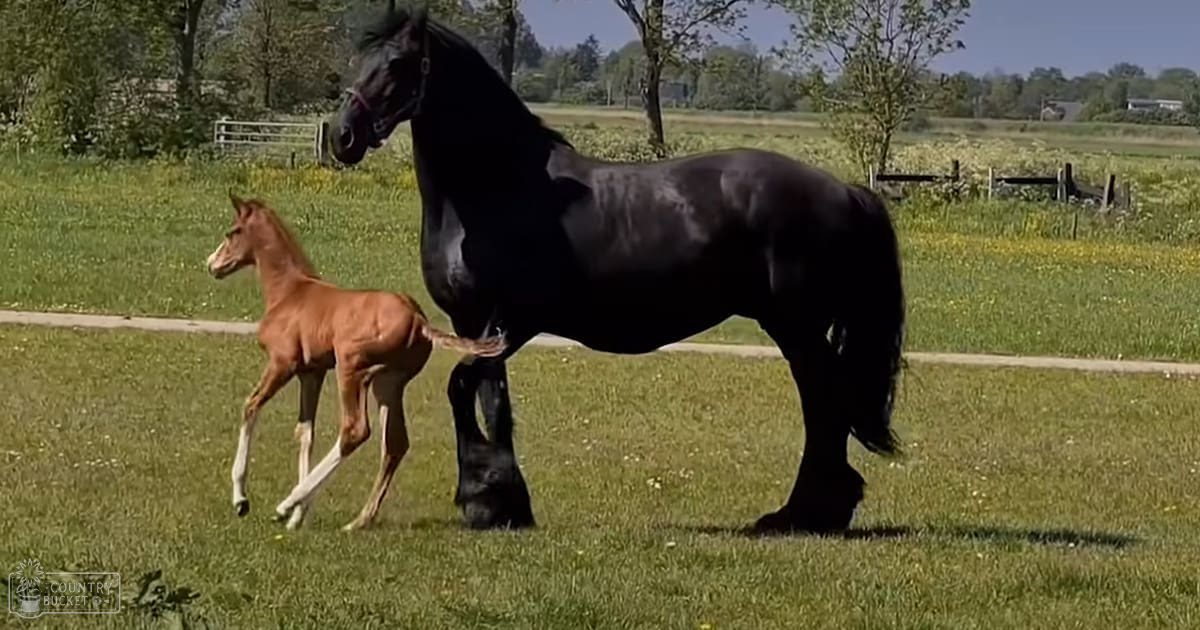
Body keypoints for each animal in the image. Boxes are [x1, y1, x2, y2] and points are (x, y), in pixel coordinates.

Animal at [206, 193, 506, 531]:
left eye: (232, 232)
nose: (212, 264)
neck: (289, 293)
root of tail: (418, 320)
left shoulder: (283, 364)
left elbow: (250, 406)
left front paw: (243, 501)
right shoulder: (312, 373)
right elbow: (305, 433)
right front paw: (298, 518)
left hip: (352, 368)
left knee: (355, 430)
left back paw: (285, 504)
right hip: (388, 382)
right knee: (395, 443)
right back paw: (358, 520)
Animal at [326, 3, 906, 534]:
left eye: (398, 62)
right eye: (358, 58)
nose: (341, 136)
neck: (497, 186)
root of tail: (844, 191)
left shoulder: (510, 322)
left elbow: (460, 387)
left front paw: (483, 495)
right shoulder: (473, 324)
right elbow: (493, 402)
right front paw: (503, 502)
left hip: (797, 327)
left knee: (824, 405)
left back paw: (804, 514)